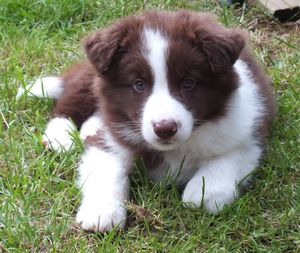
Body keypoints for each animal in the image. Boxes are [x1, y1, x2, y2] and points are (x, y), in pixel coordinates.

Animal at [18, 10, 276, 232]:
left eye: (189, 83)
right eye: (139, 84)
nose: (165, 128)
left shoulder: (248, 133)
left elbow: (225, 161)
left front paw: (202, 194)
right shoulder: (112, 139)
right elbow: (106, 171)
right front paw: (102, 213)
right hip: (91, 80)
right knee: (69, 100)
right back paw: (60, 137)